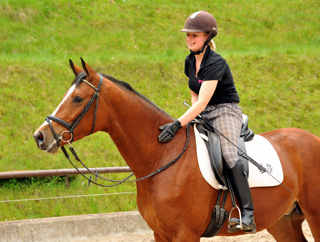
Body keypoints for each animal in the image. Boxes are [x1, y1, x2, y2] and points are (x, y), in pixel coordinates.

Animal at [33, 59, 320, 242]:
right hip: (284, 222)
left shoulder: (185, 234)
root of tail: (311, 138)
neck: (161, 156)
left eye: (77, 99)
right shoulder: (160, 234)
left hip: (314, 214)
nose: (40, 136)